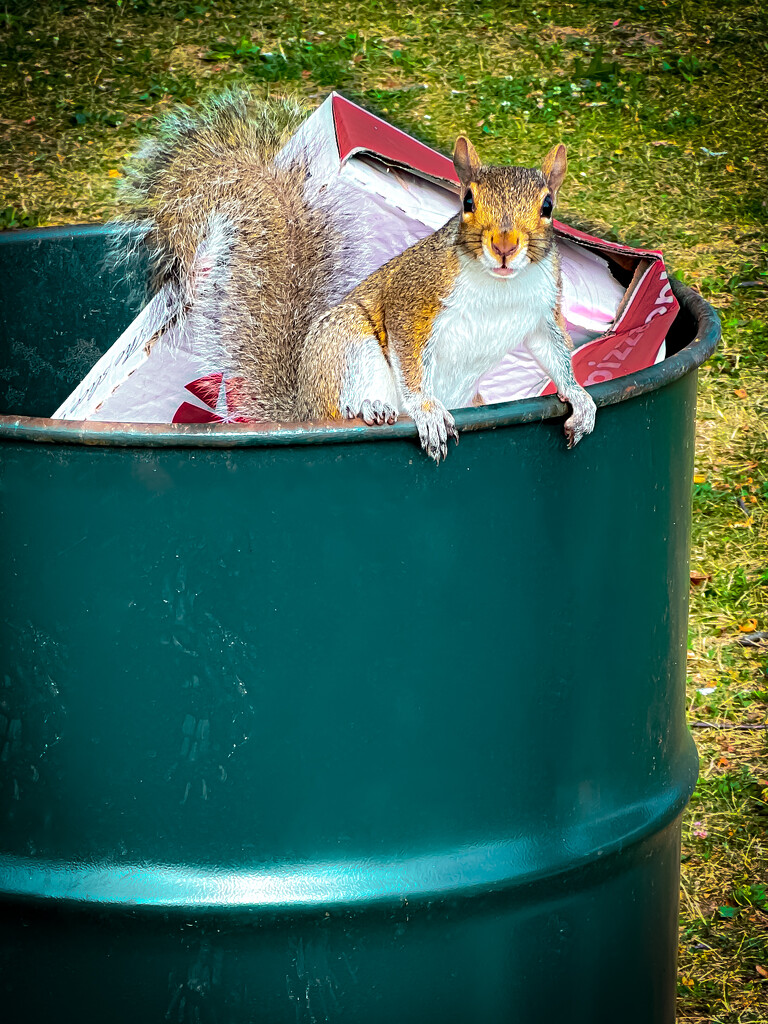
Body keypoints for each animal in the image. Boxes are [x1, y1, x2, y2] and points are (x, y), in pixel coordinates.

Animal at [121, 92, 602, 460]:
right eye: (467, 201)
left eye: (548, 207)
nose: (504, 246)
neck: (500, 284)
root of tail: (300, 408)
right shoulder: (414, 298)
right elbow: (411, 360)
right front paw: (427, 410)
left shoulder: (543, 309)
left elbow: (554, 353)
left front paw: (579, 397)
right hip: (346, 342)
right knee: (342, 409)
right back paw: (373, 408)